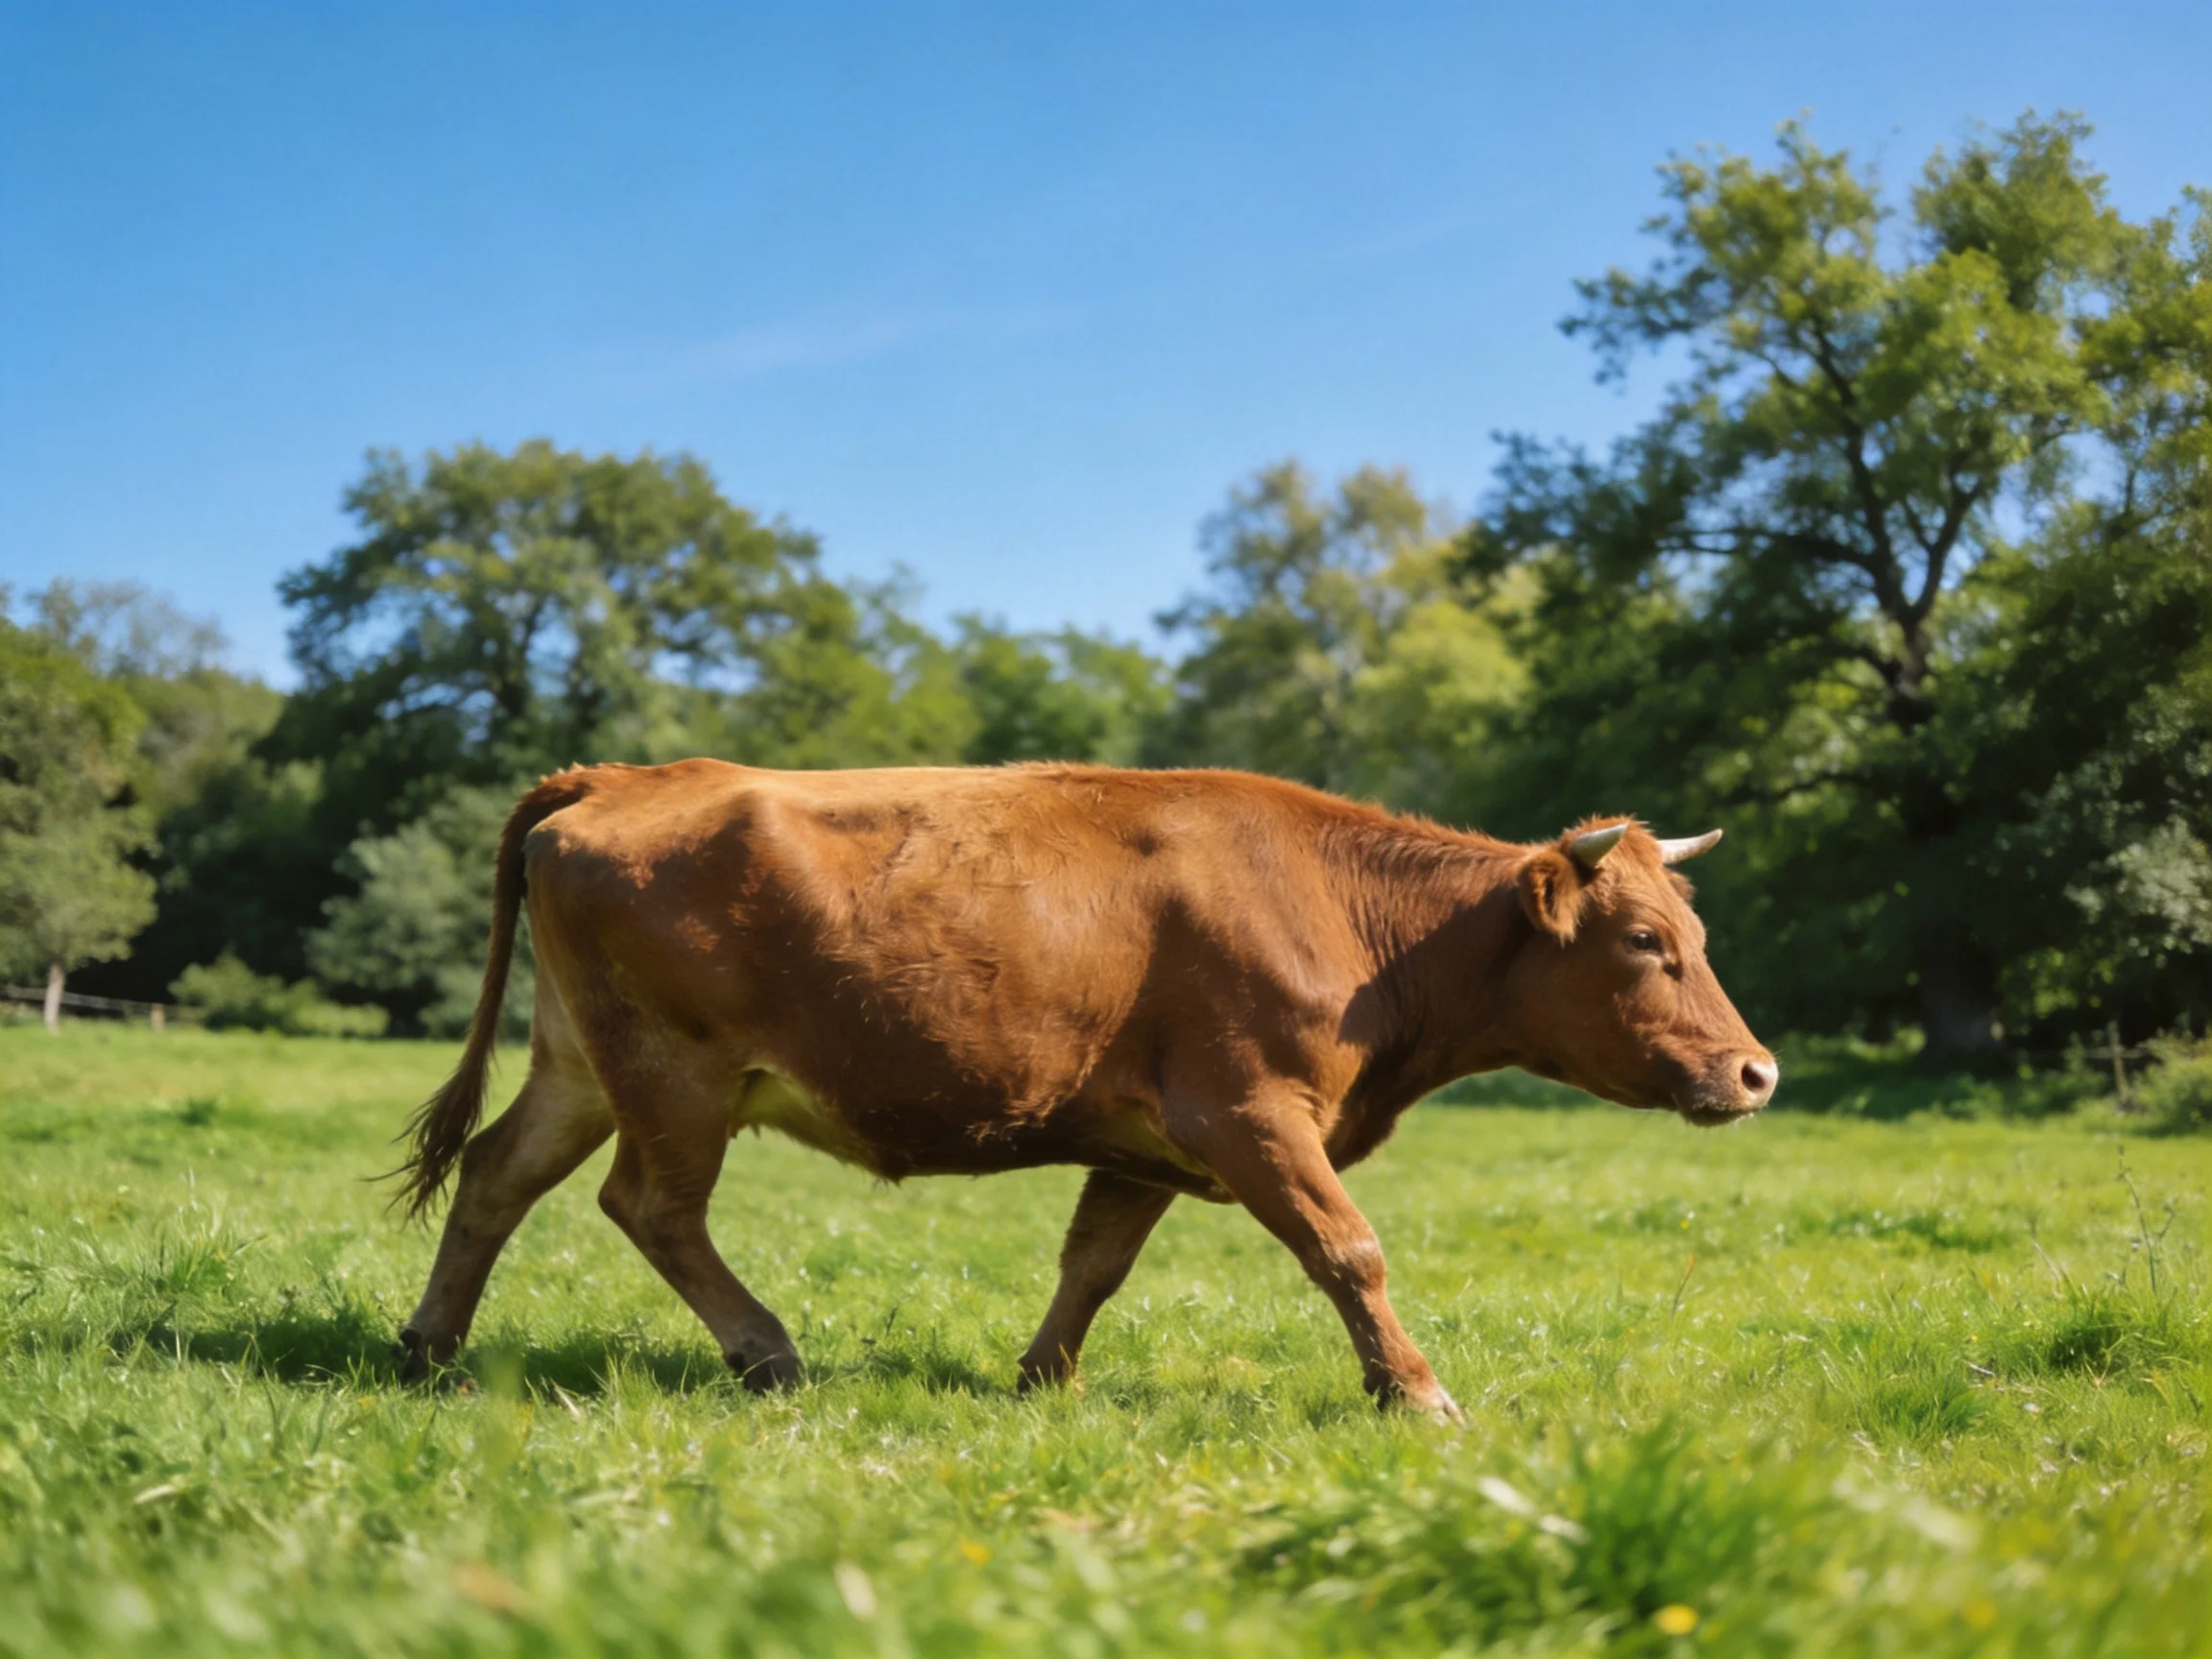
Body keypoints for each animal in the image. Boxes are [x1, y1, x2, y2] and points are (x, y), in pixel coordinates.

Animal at [393, 760, 1776, 1420]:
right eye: (1646, 941)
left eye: (1695, 933)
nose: (1759, 1071)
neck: (1357, 926)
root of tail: (623, 777)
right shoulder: (1251, 1114)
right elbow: (1350, 1250)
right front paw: (1416, 1393)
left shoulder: (1151, 1139)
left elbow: (1094, 1262)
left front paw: (1042, 1381)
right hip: (674, 1073)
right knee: (652, 1208)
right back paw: (767, 1352)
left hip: (580, 1062)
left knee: (498, 1174)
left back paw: (430, 1352)